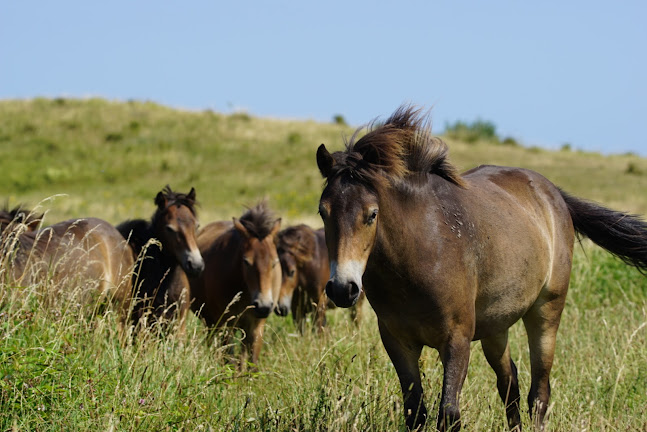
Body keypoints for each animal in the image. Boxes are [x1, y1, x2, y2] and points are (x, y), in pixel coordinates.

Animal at [185, 202, 280, 364]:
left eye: (274, 263)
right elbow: (228, 359)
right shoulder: (225, 324)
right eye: (246, 262)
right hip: (212, 322)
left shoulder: (256, 326)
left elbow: (251, 362)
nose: (263, 305)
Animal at [316, 105, 647, 432]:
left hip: (546, 312)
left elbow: (449, 414)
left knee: (539, 393)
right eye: (323, 212)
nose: (342, 288)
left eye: (372, 214)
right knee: (510, 383)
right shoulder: (398, 343)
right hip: (495, 327)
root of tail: (552, 193)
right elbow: (416, 414)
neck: (420, 255)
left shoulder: (457, 340)